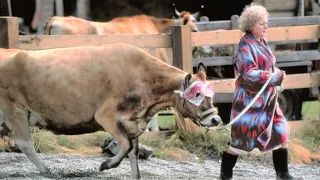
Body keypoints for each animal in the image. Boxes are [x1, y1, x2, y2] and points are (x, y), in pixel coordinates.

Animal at [0, 44, 220, 179]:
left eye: (211, 93)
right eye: (197, 94)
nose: (216, 119)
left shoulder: (133, 123)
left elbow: (133, 152)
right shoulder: (106, 116)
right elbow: (125, 146)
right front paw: (105, 165)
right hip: (14, 109)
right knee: (25, 144)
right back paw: (48, 170)